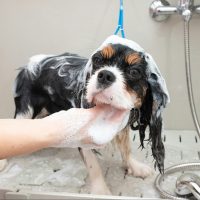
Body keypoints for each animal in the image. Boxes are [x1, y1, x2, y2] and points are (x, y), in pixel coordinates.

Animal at [1, 35, 170, 195]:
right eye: (97, 60)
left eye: (134, 72)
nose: (105, 75)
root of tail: (28, 66)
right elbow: (93, 165)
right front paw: (101, 191)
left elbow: (126, 147)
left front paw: (134, 166)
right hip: (26, 110)